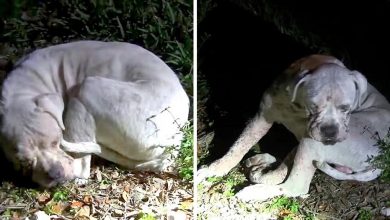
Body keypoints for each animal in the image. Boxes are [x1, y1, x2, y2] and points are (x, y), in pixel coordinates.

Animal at [0, 40, 189, 186]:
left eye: (55, 142)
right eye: (25, 162)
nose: (55, 175)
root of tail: (174, 141)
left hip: (88, 89)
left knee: (82, 166)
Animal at [200, 54, 388, 201]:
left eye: (346, 108)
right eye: (314, 106)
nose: (330, 132)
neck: (297, 108)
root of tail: (381, 161)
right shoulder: (261, 119)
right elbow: (238, 147)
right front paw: (215, 169)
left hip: (311, 144)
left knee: (295, 186)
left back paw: (256, 188)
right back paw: (260, 164)